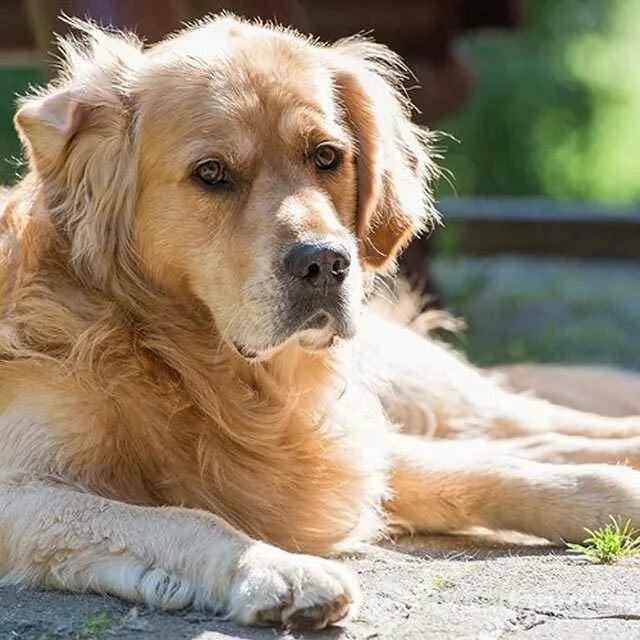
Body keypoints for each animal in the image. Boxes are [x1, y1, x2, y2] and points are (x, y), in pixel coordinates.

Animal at [1, 17, 640, 632]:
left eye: (327, 156)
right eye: (211, 172)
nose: (325, 263)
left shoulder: (345, 441)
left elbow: (487, 469)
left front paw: (615, 491)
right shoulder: (24, 489)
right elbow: (188, 517)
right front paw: (277, 570)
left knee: (527, 425)